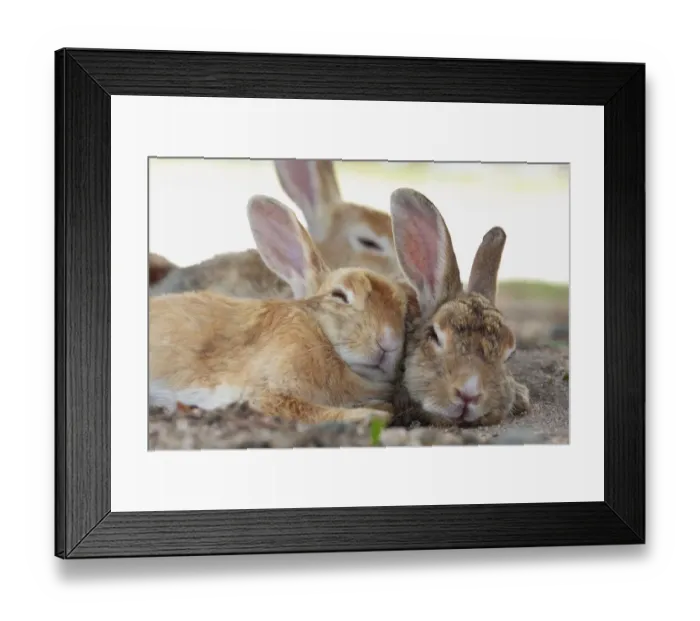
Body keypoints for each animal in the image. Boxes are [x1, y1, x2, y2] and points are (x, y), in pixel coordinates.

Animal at [149, 194, 411, 425]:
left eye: (404, 310)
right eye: (339, 295)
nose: (389, 341)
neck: (320, 333)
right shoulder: (267, 392)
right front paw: (370, 415)